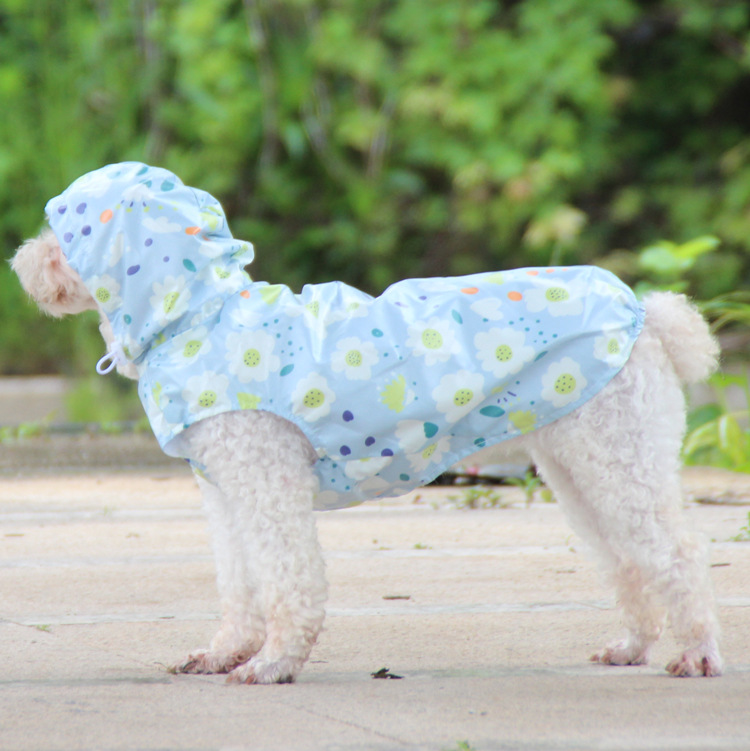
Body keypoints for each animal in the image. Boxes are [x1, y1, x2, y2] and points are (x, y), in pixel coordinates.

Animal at [12, 162, 723, 682]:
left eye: (60, 241)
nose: (20, 262)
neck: (198, 316)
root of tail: (647, 316)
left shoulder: (267, 484)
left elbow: (288, 578)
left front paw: (273, 664)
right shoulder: (228, 493)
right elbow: (241, 585)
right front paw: (226, 653)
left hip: (621, 452)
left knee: (678, 553)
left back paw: (696, 654)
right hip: (579, 463)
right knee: (626, 558)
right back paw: (631, 646)